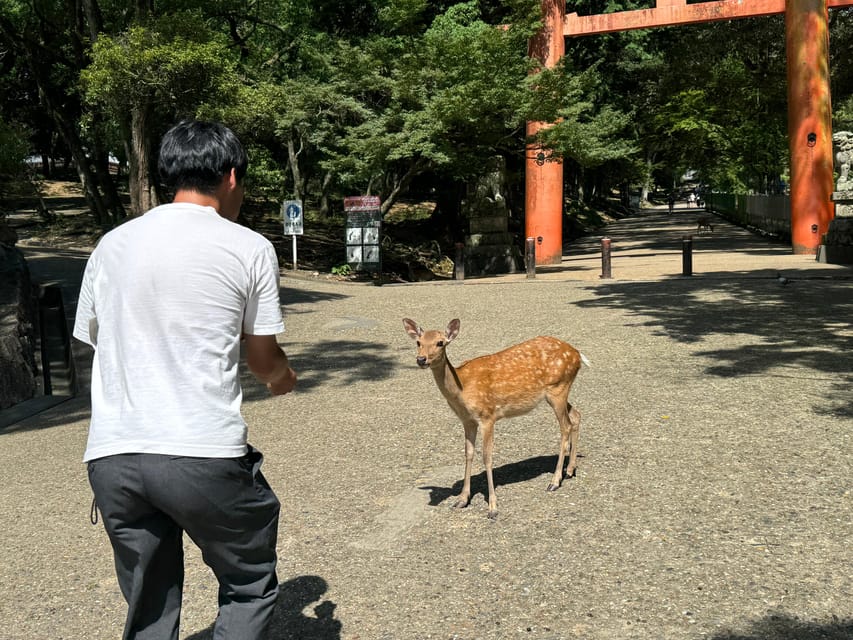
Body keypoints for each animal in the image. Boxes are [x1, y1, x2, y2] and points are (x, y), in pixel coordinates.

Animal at [402, 318, 584, 516]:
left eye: (440, 343)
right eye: (418, 342)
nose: (421, 359)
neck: (462, 388)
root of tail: (577, 354)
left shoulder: (487, 416)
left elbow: (487, 457)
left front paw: (493, 507)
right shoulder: (467, 420)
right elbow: (468, 453)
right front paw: (462, 499)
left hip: (558, 388)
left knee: (565, 426)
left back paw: (554, 481)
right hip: (559, 392)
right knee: (576, 415)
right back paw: (570, 470)